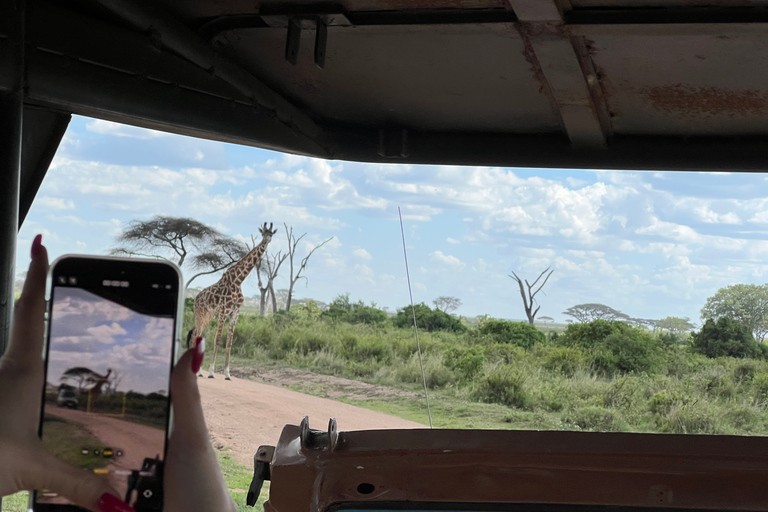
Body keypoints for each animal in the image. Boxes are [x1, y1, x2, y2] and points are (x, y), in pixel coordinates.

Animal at [190, 221, 278, 380]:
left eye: (271, 233)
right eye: (263, 233)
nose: (267, 240)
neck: (238, 280)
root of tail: (196, 298)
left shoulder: (235, 312)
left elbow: (229, 342)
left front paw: (227, 373)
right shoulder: (224, 310)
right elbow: (218, 338)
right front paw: (211, 372)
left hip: (208, 316)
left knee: (196, 335)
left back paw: (197, 370)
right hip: (199, 313)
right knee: (196, 335)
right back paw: (197, 371)